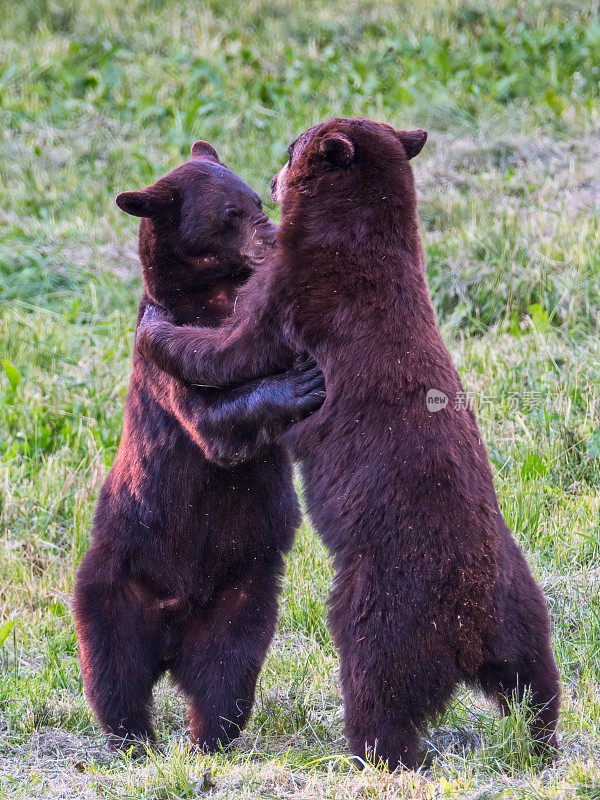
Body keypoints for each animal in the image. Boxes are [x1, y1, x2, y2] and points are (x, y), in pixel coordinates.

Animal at [72, 142, 326, 752]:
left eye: (257, 198)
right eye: (230, 214)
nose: (273, 236)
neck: (214, 295)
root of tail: (172, 634)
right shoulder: (164, 359)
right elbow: (212, 425)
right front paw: (297, 384)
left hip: (241, 597)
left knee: (225, 675)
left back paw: (209, 736)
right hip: (113, 582)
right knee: (112, 669)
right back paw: (132, 736)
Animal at [138, 122, 560, 772]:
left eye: (291, 148)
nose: (271, 176)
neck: (355, 237)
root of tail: (471, 627)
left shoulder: (297, 296)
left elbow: (231, 346)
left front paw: (159, 327)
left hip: (386, 606)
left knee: (377, 684)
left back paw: (373, 753)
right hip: (523, 607)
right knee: (535, 680)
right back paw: (541, 740)